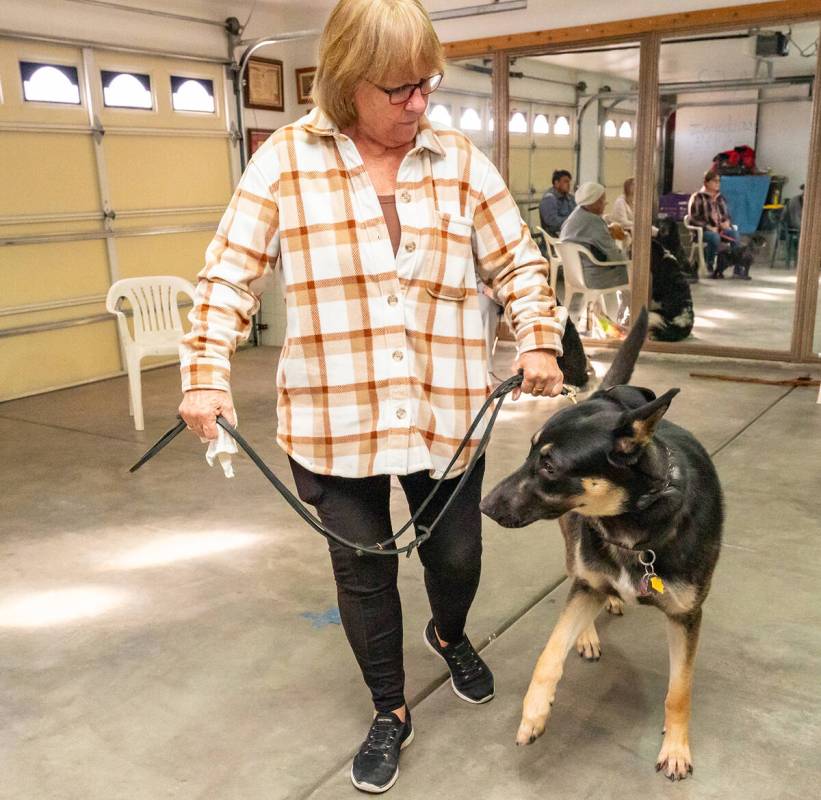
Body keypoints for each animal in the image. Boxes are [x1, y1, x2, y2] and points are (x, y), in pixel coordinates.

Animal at [484, 310, 720, 780]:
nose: (484, 505)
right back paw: (591, 627)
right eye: (529, 452)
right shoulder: (585, 585)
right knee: (580, 579)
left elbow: (679, 691)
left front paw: (677, 748)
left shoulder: (687, 617)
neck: (636, 528)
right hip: (576, 548)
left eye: (549, 466)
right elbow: (549, 653)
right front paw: (534, 713)